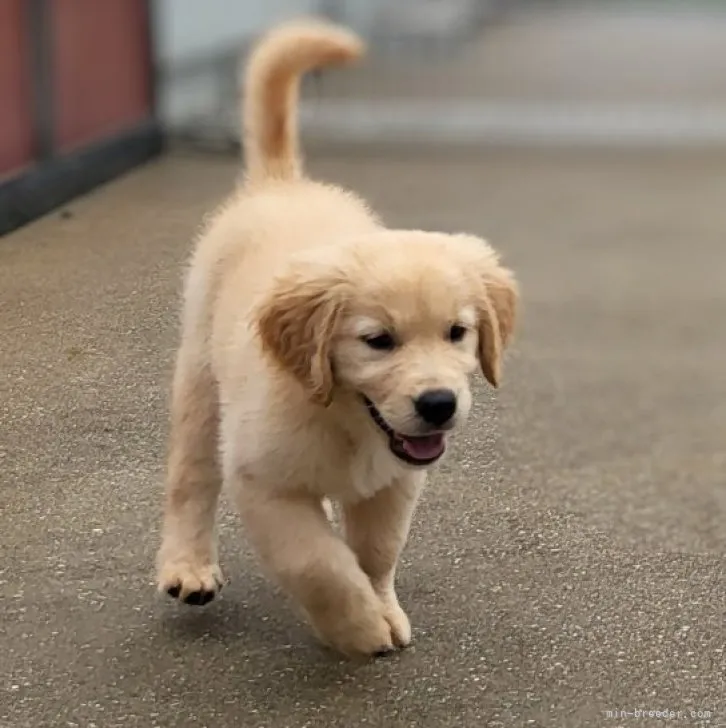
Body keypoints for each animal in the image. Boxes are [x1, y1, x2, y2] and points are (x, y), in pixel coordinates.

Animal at [156, 18, 520, 660]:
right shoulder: (264, 482)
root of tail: (282, 184)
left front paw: (382, 607)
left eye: (458, 333)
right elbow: (317, 563)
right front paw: (357, 627)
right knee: (190, 477)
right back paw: (188, 566)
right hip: (200, 379)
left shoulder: (395, 481)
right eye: (377, 341)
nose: (439, 404)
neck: (347, 423)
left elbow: (374, 552)